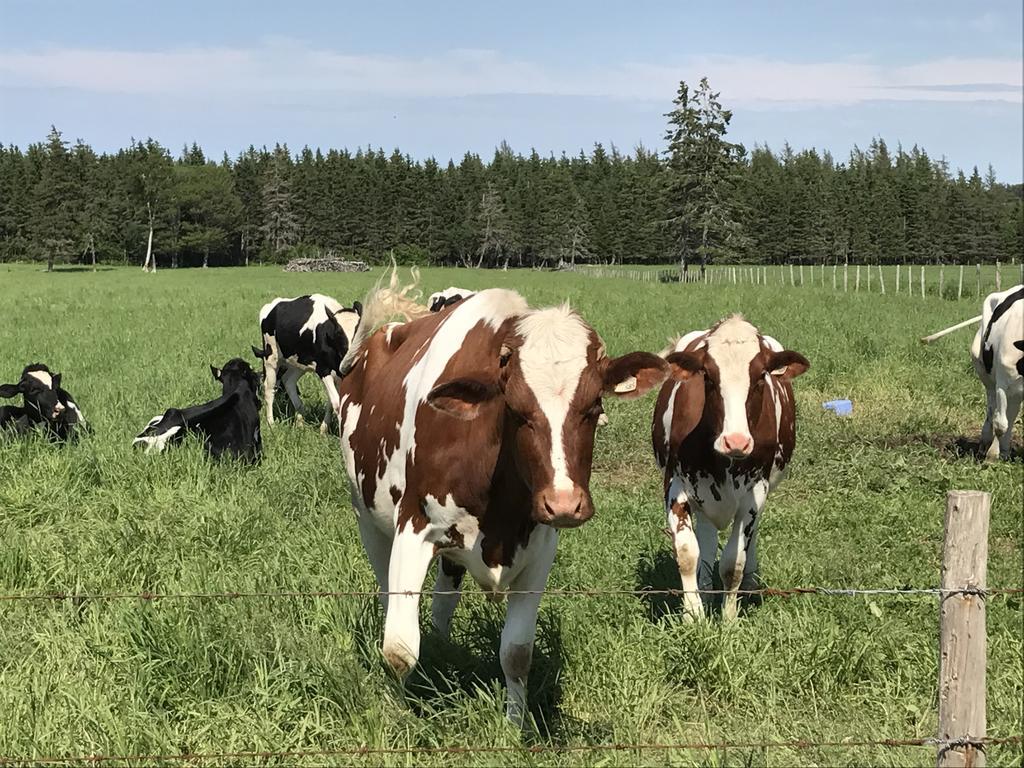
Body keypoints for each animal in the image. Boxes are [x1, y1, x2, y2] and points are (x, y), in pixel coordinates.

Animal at [252, 292, 362, 434]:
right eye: (338, 333)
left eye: (359, 330)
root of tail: (272, 305)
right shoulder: (323, 369)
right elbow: (337, 403)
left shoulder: (341, 373)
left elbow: (334, 402)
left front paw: (323, 429)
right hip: (271, 356)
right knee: (269, 388)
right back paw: (272, 424)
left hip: (298, 362)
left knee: (288, 381)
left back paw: (300, 420)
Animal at [339, 286, 667, 724]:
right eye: (514, 408)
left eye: (594, 406)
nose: (564, 503)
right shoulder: (413, 531)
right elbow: (399, 649)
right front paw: (398, 717)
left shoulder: (540, 550)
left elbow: (516, 653)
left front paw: (515, 723)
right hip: (369, 520)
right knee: (386, 591)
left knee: (445, 599)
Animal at [651, 315, 811, 622]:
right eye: (708, 376)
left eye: (760, 376)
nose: (735, 440)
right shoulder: (676, 483)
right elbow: (687, 553)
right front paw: (694, 615)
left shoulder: (755, 491)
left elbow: (733, 562)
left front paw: (729, 618)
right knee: (705, 535)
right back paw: (704, 586)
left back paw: (749, 582)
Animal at [970, 284, 1019, 460]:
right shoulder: (1002, 385)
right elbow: (1000, 424)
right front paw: (992, 455)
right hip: (986, 376)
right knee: (992, 410)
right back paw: (985, 444)